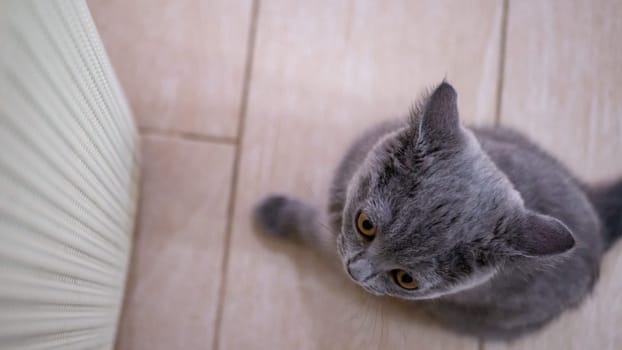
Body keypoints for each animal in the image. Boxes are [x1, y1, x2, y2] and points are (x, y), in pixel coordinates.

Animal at [255, 81, 622, 340]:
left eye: (406, 280)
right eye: (366, 225)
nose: (355, 272)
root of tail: (600, 227)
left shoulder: (331, 244)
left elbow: (308, 227)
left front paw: (271, 213)